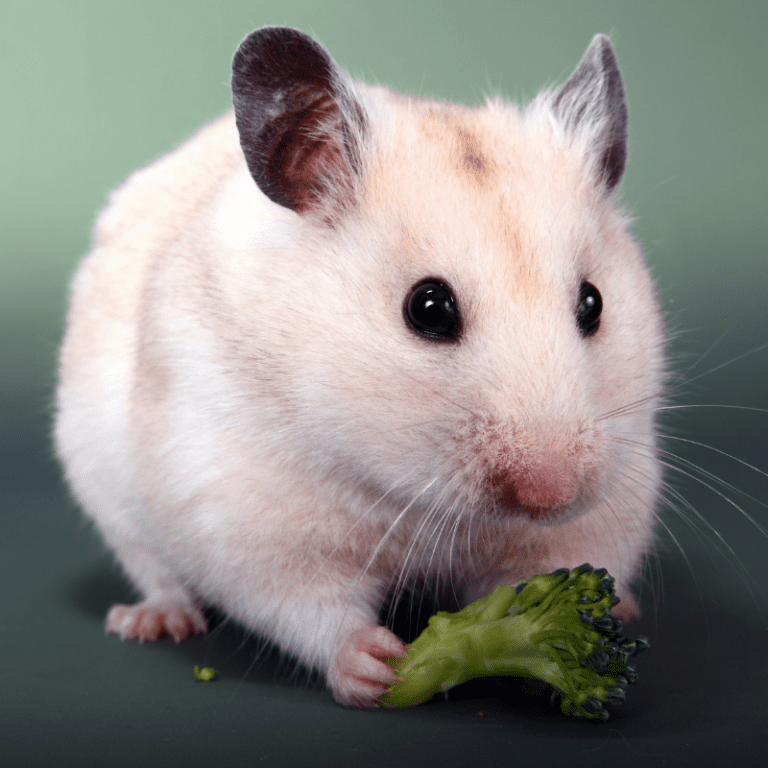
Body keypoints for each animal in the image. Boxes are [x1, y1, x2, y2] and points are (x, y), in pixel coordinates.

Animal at [54, 26, 666, 707]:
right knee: (156, 569)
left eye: (593, 303)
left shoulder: (608, 505)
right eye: (428, 308)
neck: (414, 497)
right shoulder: (248, 517)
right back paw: (152, 621)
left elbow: (553, 565)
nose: (550, 492)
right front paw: (381, 668)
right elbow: (305, 603)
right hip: (108, 493)